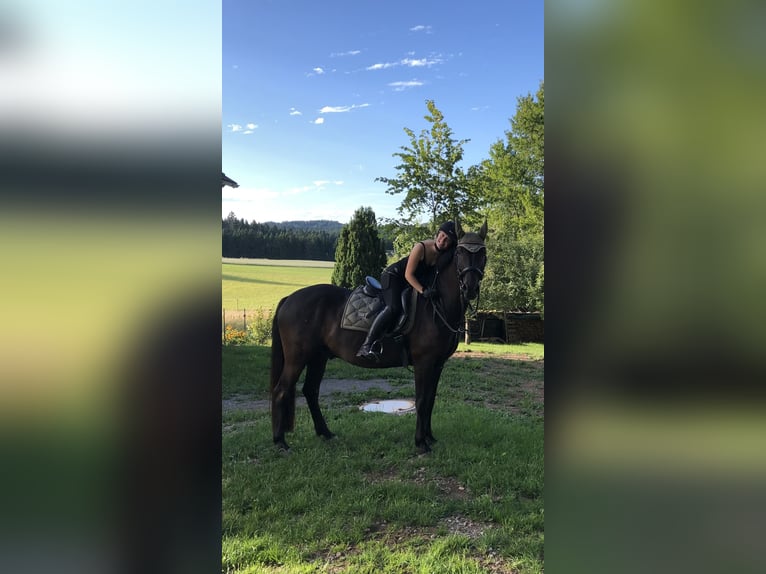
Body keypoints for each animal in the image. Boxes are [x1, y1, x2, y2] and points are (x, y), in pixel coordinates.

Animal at [270, 221, 488, 453]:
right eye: (459, 253)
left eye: (483, 253)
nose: (470, 288)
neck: (436, 306)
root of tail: (290, 298)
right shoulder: (424, 362)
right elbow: (421, 401)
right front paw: (420, 443)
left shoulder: (438, 364)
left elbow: (430, 400)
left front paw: (430, 437)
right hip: (297, 358)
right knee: (281, 390)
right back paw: (280, 441)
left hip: (318, 357)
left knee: (310, 390)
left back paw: (325, 433)